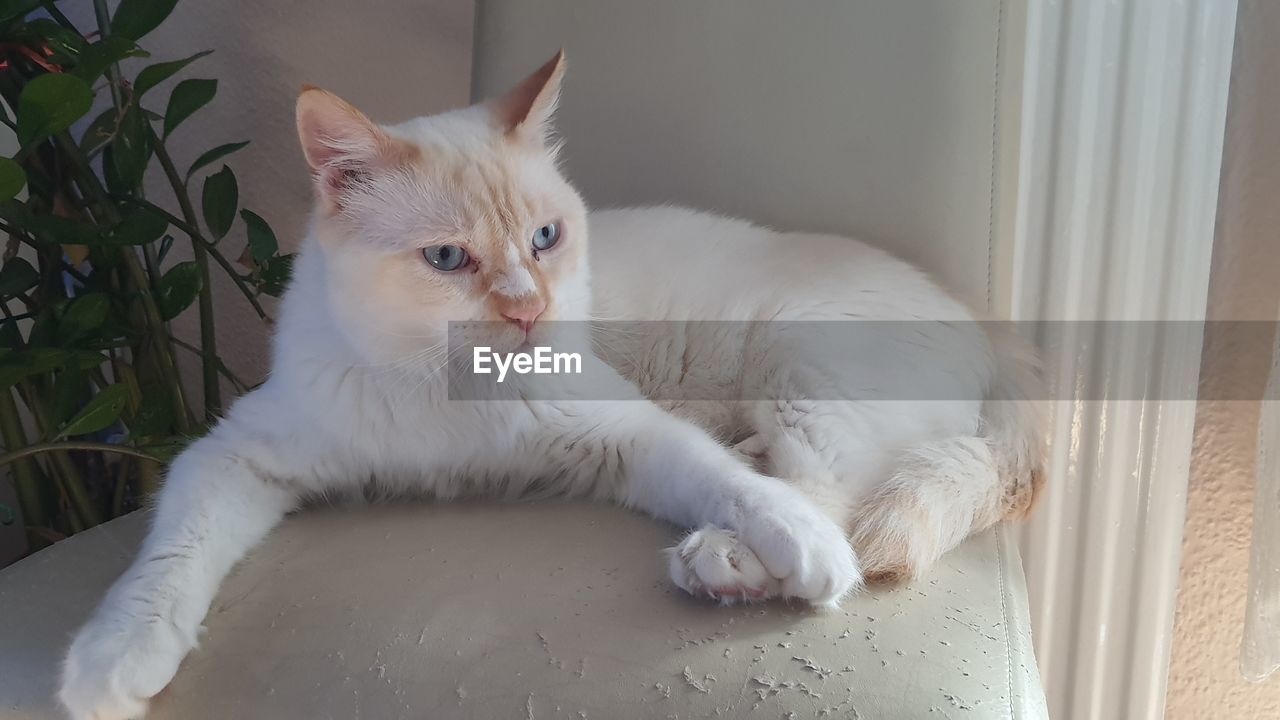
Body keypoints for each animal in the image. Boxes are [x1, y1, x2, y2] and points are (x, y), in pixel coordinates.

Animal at [57, 51, 1039, 717]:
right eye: (447, 259)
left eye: (544, 238)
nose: (529, 309)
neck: (448, 390)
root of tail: (988, 328)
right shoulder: (232, 456)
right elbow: (170, 557)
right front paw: (113, 660)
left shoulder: (625, 432)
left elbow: (735, 484)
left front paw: (790, 545)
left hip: (809, 372)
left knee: (824, 484)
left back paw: (729, 559)